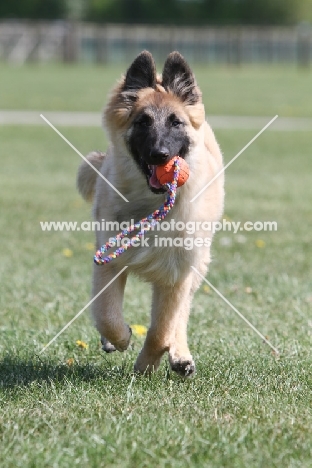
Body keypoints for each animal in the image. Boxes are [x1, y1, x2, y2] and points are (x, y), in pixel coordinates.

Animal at [78, 50, 224, 376]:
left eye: (175, 122)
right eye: (143, 122)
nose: (160, 155)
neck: (152, 206)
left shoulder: (177, 273)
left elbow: (162, 330)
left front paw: (146, 365)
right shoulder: (108, 260)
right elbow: (106, 313)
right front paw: (121, 338)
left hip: (197, 263)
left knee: (180, 315)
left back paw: (180, 355)